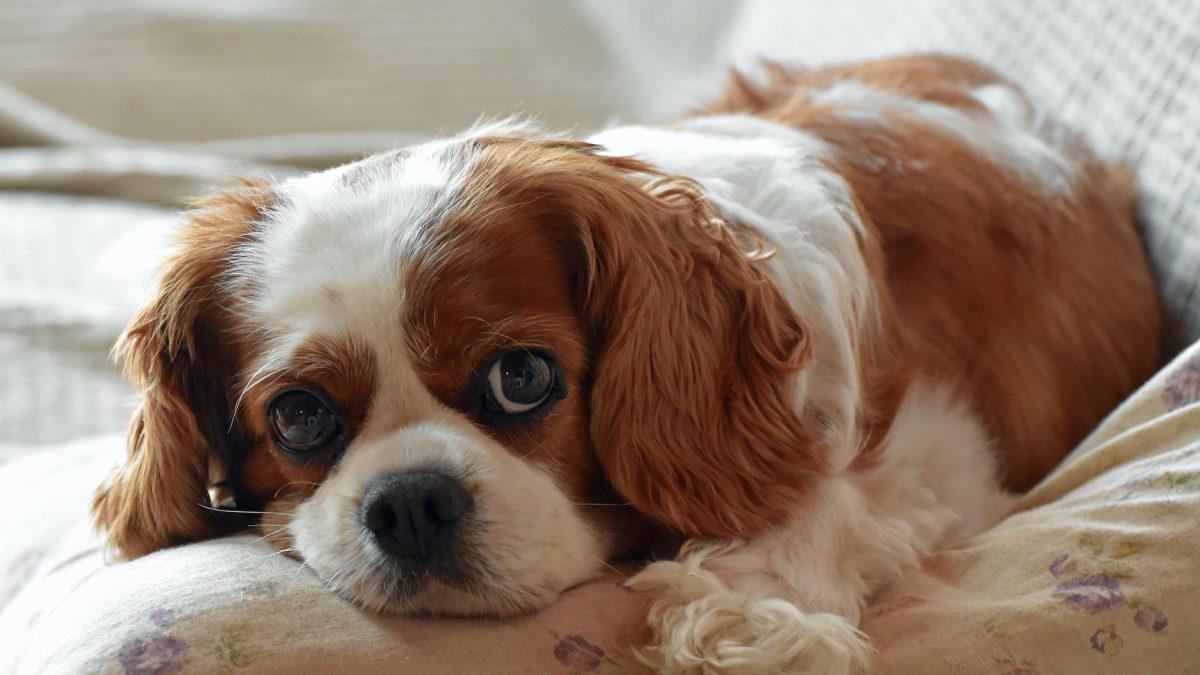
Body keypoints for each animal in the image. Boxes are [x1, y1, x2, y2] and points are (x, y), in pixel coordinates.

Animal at [93, 53, 1161, 672]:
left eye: (522, 377)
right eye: (300, 416)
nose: (410, 501)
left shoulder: (950, 444)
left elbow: (834, 490)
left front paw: (754, 609)